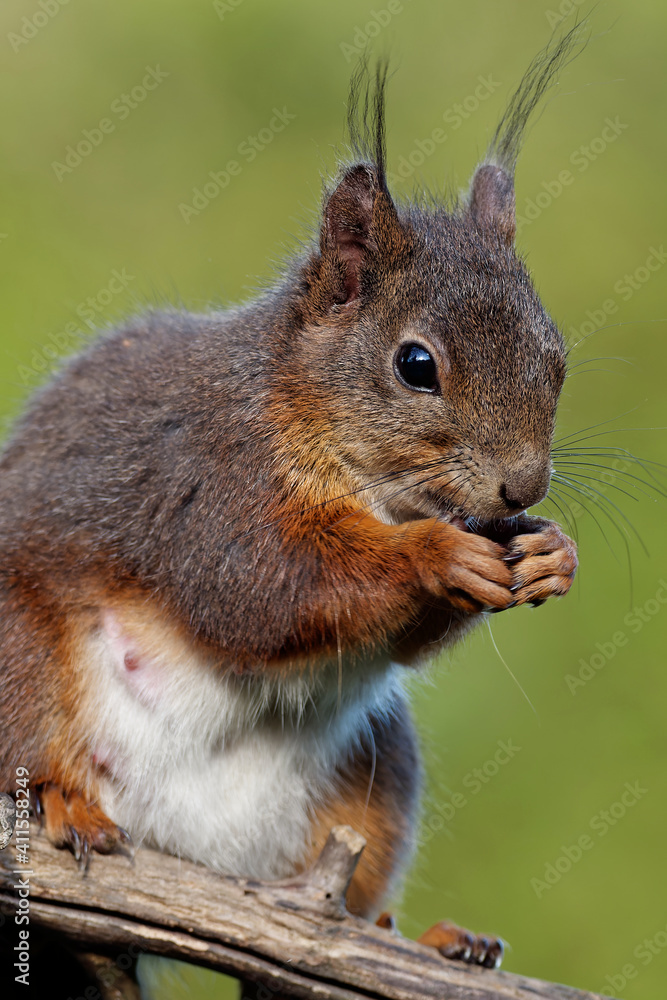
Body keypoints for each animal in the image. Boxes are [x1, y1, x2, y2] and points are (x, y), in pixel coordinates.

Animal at [0, 28, 582, 971]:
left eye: (554, 352)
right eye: (415, 365)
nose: (522, 485)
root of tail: (190, 851)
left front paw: (550, 552)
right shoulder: (213, 482)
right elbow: (263, 590)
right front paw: (433, 554)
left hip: (375, 781)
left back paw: (416, 935)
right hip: (20, 655)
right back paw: (62, 803)